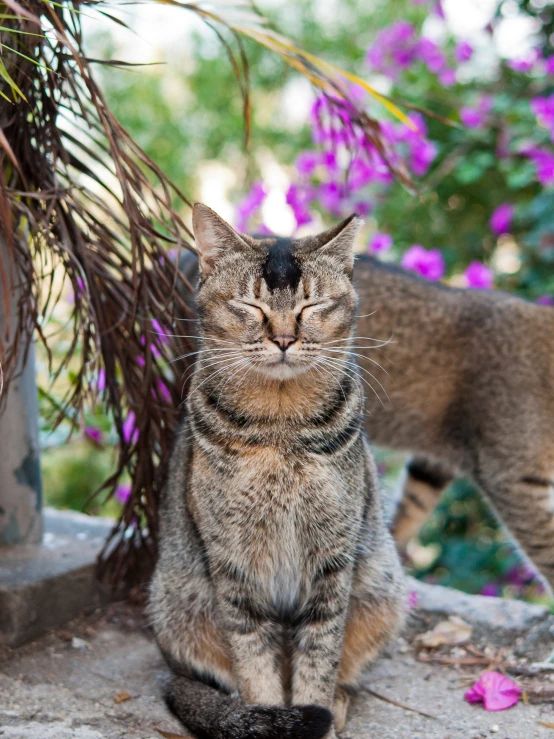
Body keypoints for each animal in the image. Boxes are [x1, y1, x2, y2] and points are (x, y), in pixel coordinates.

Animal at [149, 204, 404, 739]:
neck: (280, 426)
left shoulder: (333, 560)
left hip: (384, 589)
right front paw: (268, 716)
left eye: (312, 306)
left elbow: (319, 656)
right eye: (251, 305)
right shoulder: (234, 566)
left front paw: (317, 711)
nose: (285, 338)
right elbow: (255, 660)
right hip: (175, 606)